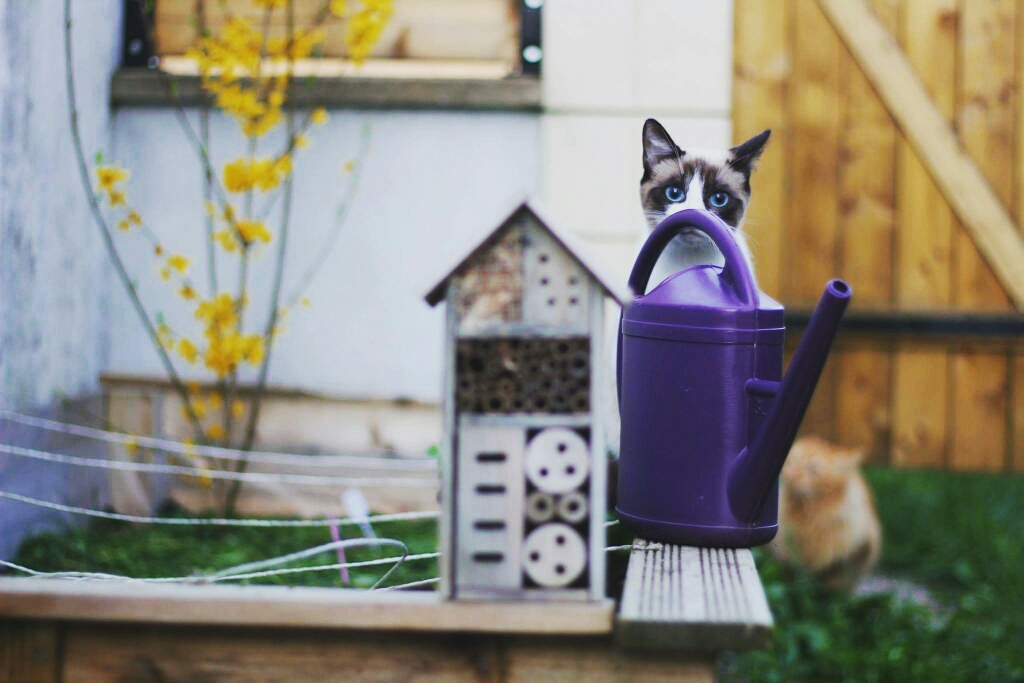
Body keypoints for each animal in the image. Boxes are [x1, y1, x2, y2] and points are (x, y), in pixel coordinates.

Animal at [770, 438, 884, 593]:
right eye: (792, 460)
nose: (790, 473)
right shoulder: (787, 557)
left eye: (813, 468)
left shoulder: (855, 554)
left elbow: (832, 585)